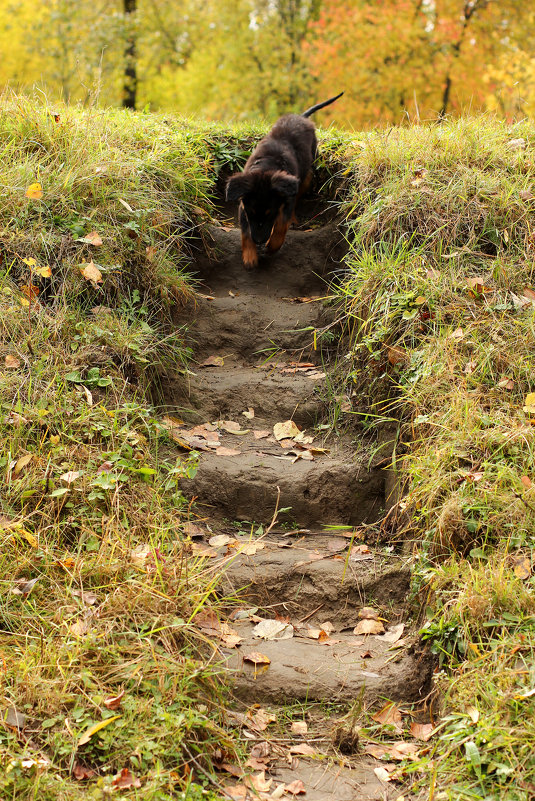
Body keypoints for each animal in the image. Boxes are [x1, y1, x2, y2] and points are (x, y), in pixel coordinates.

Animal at [225, 93, 344, 268]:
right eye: (250, 213)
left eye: (270, 214)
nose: (259, 241)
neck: (266, 167)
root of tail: (301, 117)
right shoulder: (243, 206)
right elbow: (246, 231)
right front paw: (250, 256)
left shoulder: (285, 198)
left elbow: (281, 224)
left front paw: (273, 246)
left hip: (306, 175)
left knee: (297, 198)